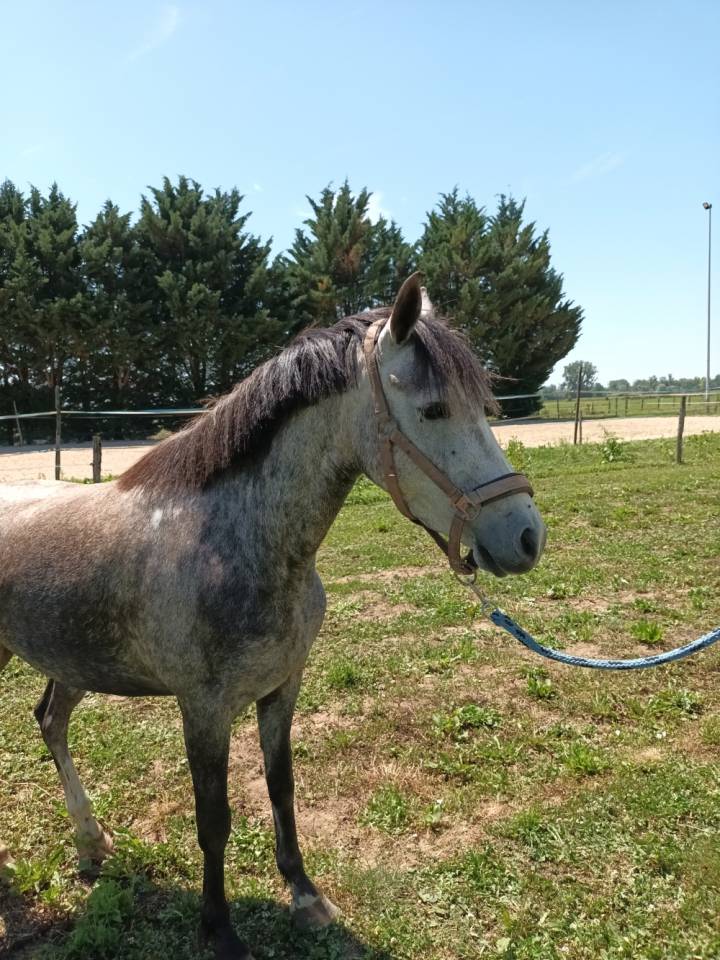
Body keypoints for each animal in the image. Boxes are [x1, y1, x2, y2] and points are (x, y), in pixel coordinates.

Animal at [0, 274, 546, 959]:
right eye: (433, 411)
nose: (526, 536)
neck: (237, 539)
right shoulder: (204, 709)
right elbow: (214, 820)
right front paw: (220, 930)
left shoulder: (282, 688)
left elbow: (281, 788)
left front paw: (305, 896)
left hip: (72, 660)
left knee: (50, 721)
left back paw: (91, 843)